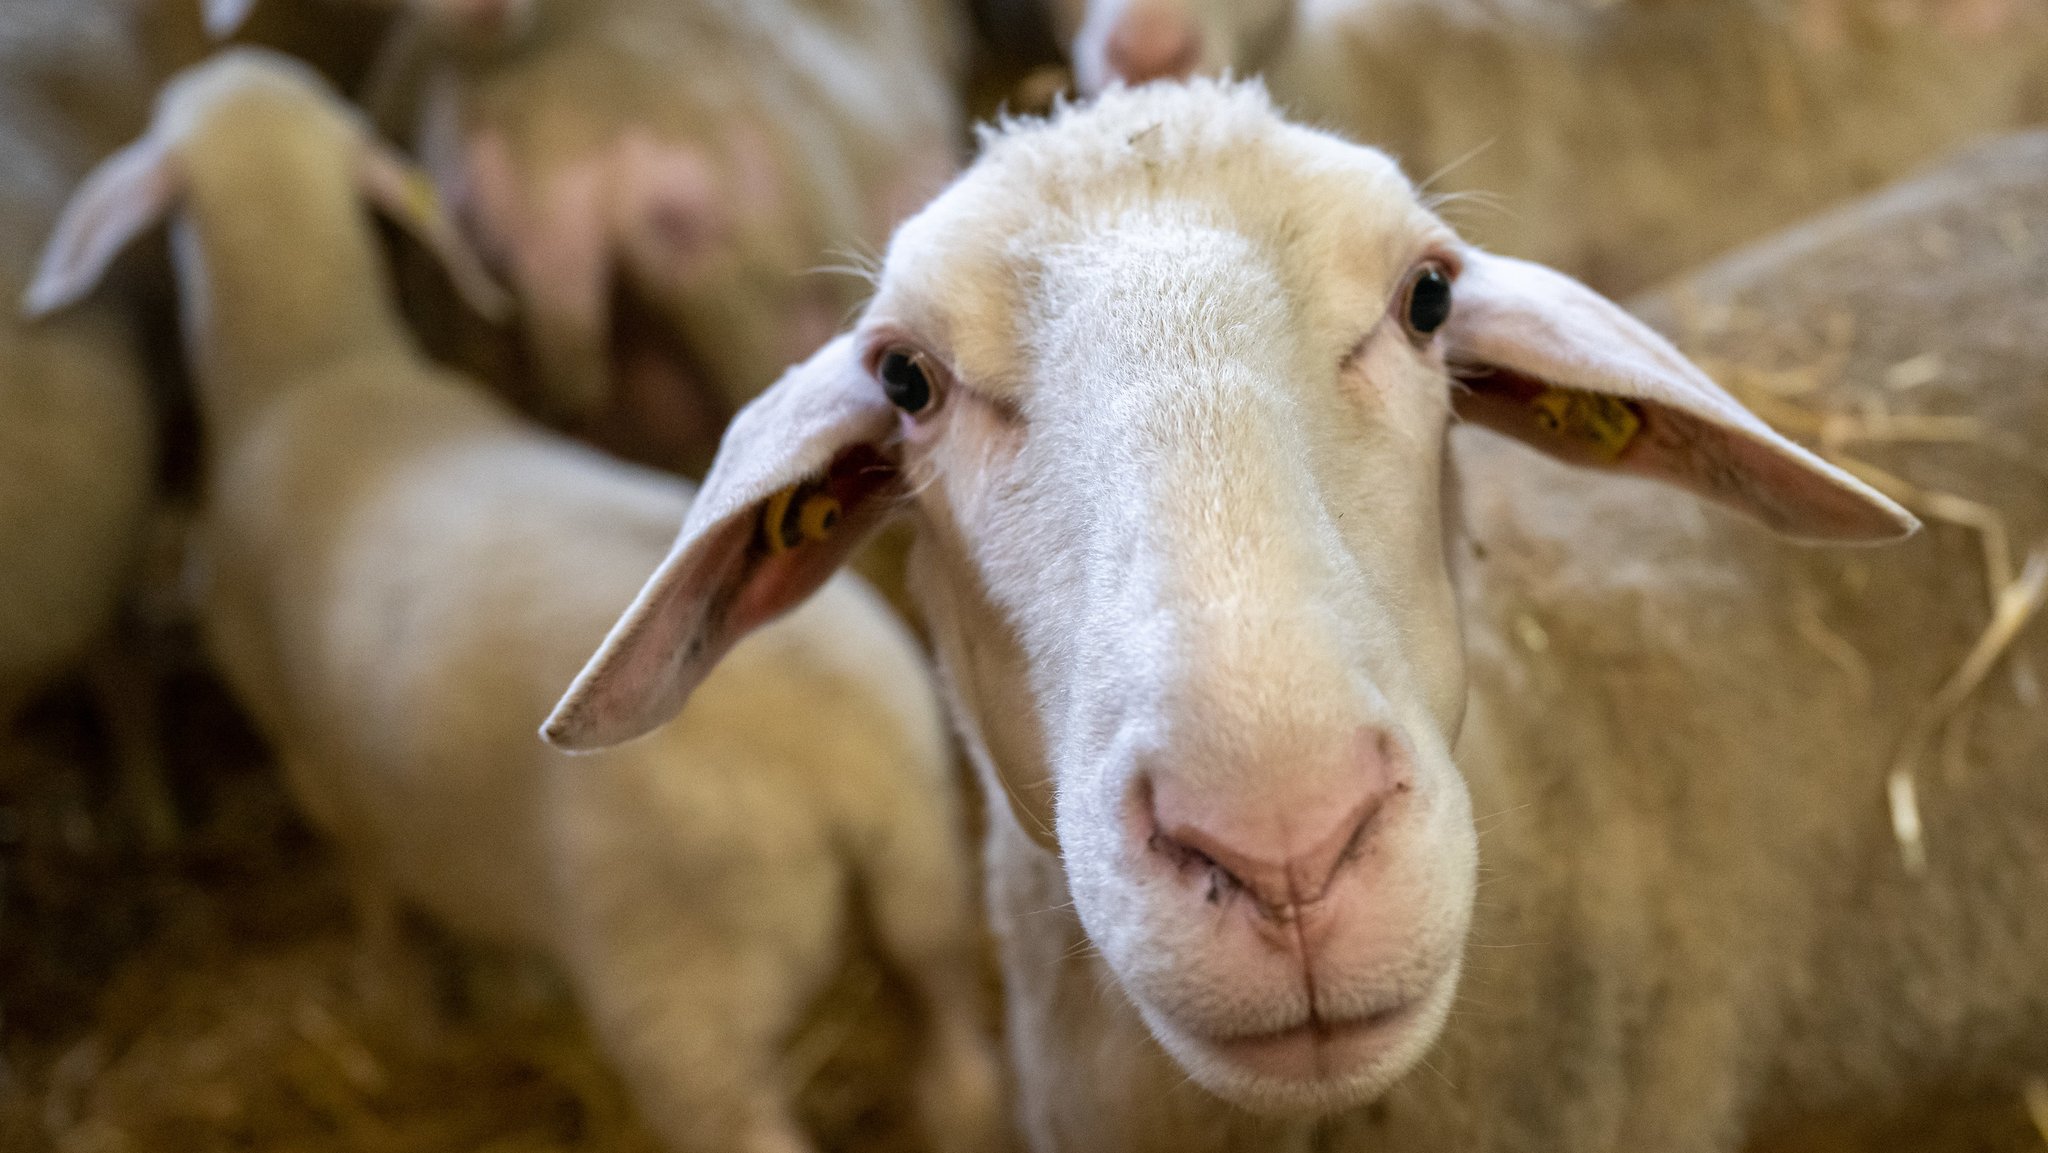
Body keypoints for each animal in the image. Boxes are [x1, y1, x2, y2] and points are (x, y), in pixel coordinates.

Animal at [24, 49, 999, 1153]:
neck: (315, 372)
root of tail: (845, 764)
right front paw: (512, 987)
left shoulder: (321, 771)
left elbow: (384, 906)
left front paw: (405, 1018)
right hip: (928, 888)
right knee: (958, 1073)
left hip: (686, 987)